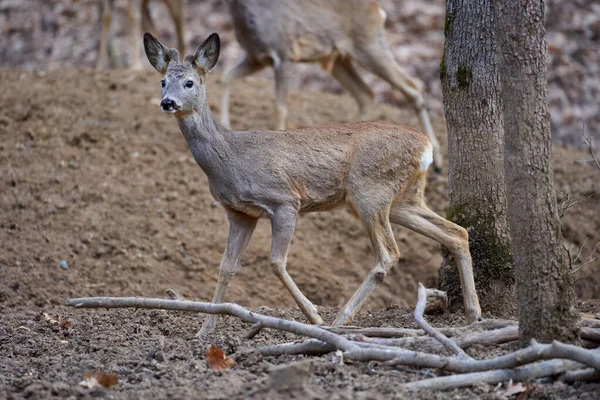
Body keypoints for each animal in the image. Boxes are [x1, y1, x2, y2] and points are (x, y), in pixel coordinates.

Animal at [221, 0, 446, 171]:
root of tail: (378, 10)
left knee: (412, 87)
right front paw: (225, 127)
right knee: (365, 92)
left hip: (369, 45)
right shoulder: (255, 58)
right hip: (339, 59)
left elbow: (279, 108)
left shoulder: (284, 54)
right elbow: (226, 76)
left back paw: (438, 163)